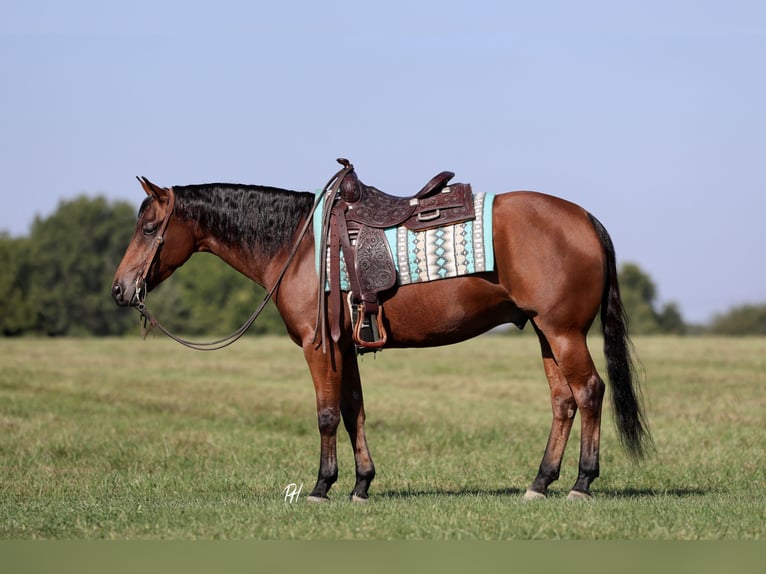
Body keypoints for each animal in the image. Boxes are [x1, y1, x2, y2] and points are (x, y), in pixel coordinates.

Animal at [111, 165, 651, 502]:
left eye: (149, 228)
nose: (119, 289)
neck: (299, 247)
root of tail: (584, 219)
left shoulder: (319, 347)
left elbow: (327, 414)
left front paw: (321, 487)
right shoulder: (344, 347)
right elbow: (355, 412)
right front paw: (361, 485)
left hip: (564, 332)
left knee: (589, 391)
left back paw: (582, 483)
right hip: (546, 333)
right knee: (563, 401)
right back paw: (540, 483)